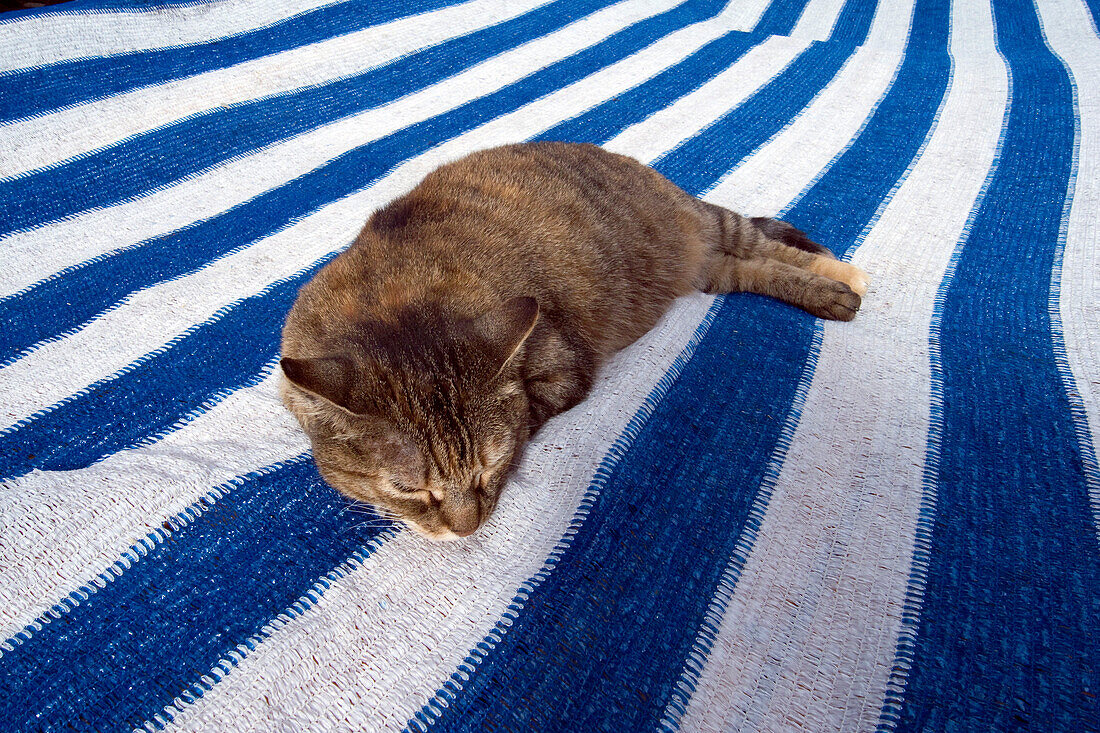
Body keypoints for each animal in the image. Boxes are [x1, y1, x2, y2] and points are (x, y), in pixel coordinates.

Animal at [277, 140, 866, 537]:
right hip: (712, 270)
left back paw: (843, 281)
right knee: (751, 267)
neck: (393, 297)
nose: (467, 529)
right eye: (408, 489)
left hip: (709, 225)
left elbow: (525, 417)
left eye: (489, 468)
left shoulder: (564, 369)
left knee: (767, 244)